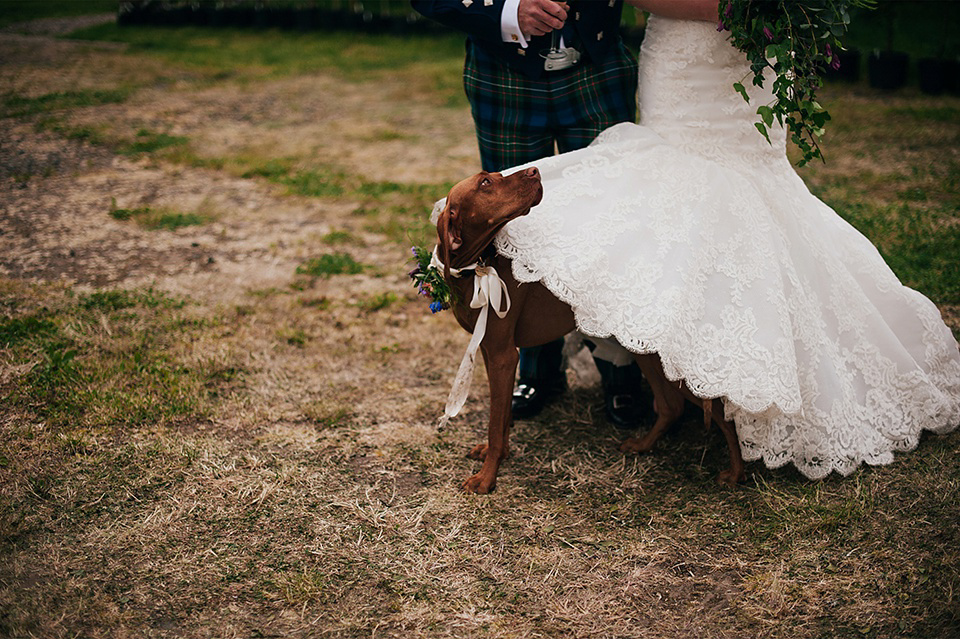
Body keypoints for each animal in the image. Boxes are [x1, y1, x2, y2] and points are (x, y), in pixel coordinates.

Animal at [436, 168, 752, 492]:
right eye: (486, 182)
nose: (535, 171)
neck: (475, 269)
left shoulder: (503, 356)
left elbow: (494, 423)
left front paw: (487, 477)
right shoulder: (491, 352)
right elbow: (502, 417)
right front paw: (496, 456)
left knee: (724, 417)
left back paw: (735, 473)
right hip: (645, 352)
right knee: (671, 407)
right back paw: (643, 445)